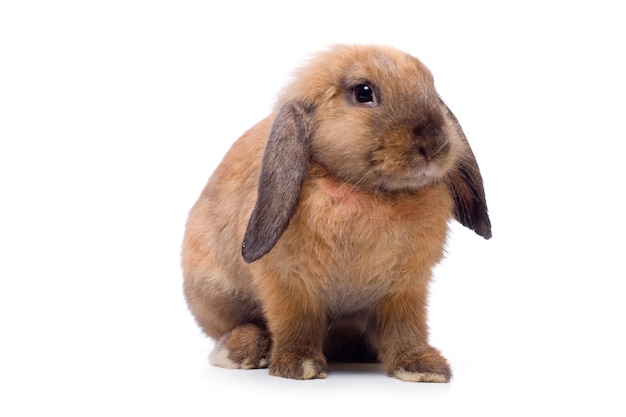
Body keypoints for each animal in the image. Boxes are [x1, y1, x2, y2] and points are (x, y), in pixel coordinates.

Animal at [180, 44, 488, 382]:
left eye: (432, 88)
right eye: (363, 92)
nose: (435, 144)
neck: (368, 190)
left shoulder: (404, 291)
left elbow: (406, 329)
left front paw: (423, 367)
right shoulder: (288, 283)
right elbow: (295, 323)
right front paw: (299, 365)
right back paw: (244, 351)